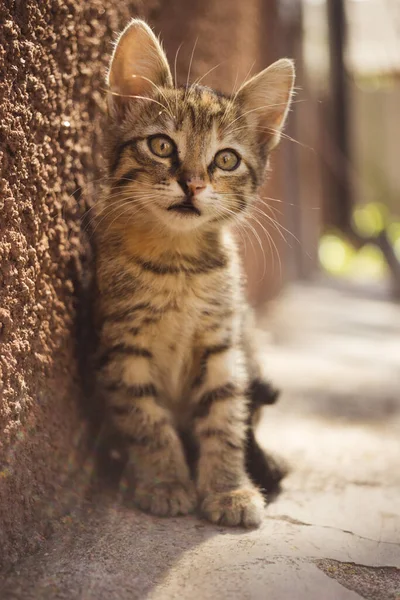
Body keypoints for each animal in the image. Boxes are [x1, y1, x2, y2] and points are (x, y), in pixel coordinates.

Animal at [94, 18, 294, 528]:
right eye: (161, 145)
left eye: (226, 159)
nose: (193, 184)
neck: (178, 264)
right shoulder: (124, 346)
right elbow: (146, 418)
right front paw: (164, 481)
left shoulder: (221, 341)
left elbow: (225, 415)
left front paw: (228, 489)